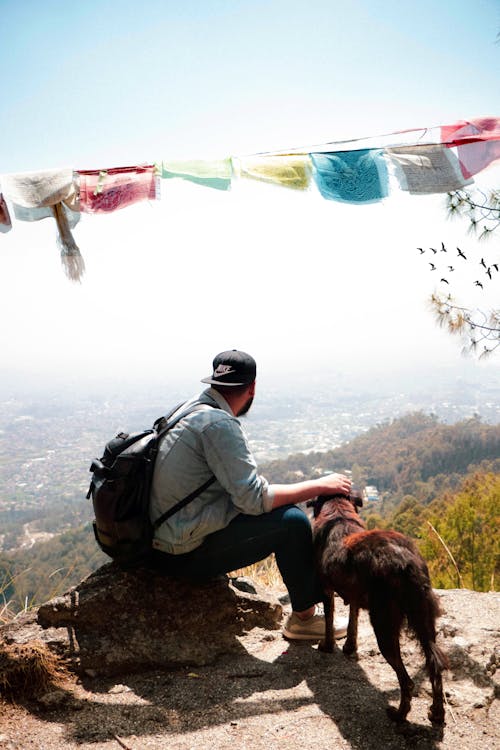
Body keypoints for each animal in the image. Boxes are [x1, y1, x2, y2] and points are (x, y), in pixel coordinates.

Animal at [308, 496, 450, 724]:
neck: (338, 512)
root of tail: (405, 561)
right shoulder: (354, 595)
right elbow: (353, 619)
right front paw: (349, 646)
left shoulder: (326, 589)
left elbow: (330, 619)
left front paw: (328, 645)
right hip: (425, 619)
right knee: (433, 664)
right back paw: (437, 713)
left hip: (385, 625)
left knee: (407, 681)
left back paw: (399, 715)